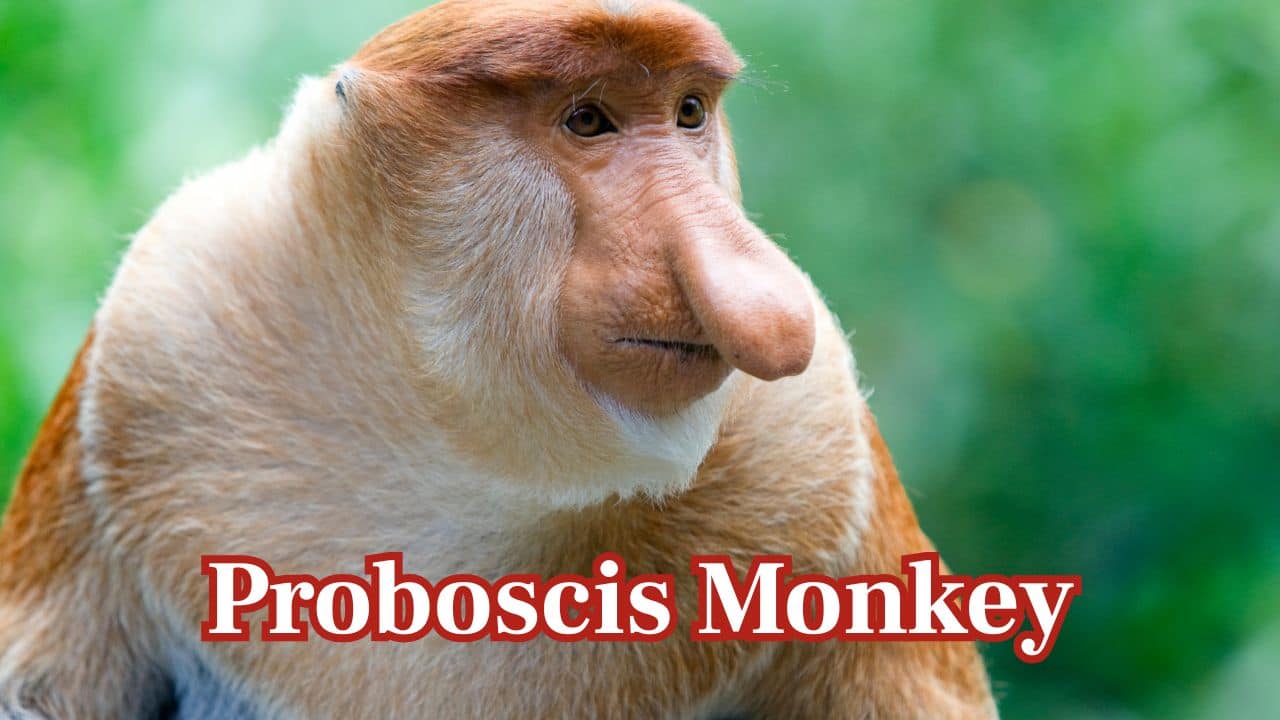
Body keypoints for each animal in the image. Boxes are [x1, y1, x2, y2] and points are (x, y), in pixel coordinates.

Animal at [0, 0, 998, 718]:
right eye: (587, 120)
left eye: (688, 113)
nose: (769, 302)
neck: (465, 453)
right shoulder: (162, 329)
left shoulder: (816, 443)